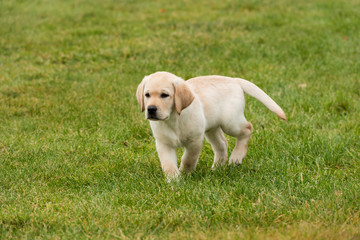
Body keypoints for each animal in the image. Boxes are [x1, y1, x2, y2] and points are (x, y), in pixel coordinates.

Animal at [136, 71, 286, 180]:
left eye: (164, 95)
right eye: (147, 95)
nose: (151, 109)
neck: (173, 119)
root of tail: (234, 80)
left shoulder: (195, 140)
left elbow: (188, 159)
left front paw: (184, 174)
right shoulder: (164, 143)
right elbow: (168, 164)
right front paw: (173, 180)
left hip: (230, 122)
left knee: (248, 128)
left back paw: (236, 157)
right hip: (212, 128)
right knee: (222, 144)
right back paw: (217, 168)